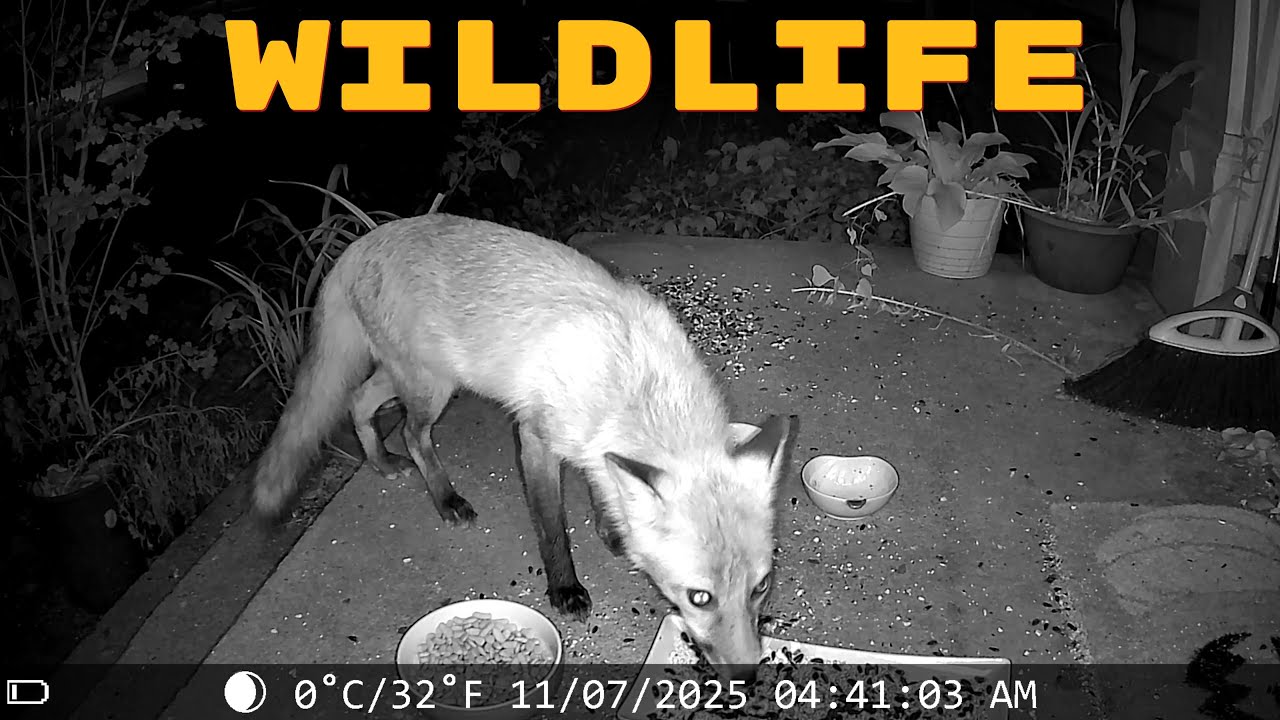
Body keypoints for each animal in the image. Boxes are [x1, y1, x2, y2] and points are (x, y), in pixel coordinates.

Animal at [248, 212, 796, 681]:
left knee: (358, 401)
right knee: (409, 432)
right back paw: (444, 498)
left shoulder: (594, 445)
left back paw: (380, 462)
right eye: (699, 598)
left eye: (762, 586)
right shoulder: (535, 438)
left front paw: (612, 528)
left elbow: (601, 486)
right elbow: (552, 528)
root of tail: (362, 242)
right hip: (432, 388)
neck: (638, 383)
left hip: (411, 378)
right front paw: (564, 588)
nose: (747, 675)